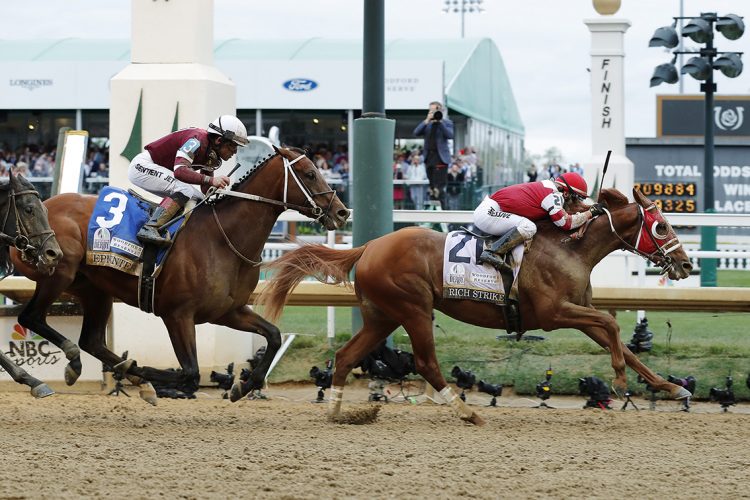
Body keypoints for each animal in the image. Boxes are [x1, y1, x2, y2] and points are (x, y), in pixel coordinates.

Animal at [11, 147, 352, 402]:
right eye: (309, 173)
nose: (342, 212)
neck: (222, 238)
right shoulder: (177, 314)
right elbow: (190, 372)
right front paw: (141, 372)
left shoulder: (228, 311)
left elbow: (273, 335)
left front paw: (244, 385)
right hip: (58, 273)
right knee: (32, 318)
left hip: (95, 289)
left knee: (91, 340)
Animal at [262, 188, 696, 426]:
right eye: (661, 226)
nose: (686, 264)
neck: (570, 248)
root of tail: (368, 246)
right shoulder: (555, 313)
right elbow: (612, 326)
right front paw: (621, 382)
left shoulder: (576, 312)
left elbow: (618, 339)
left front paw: (671, 387)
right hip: (414, 309)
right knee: (426, 363)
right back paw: (467, 412)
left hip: (382, 315)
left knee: (346, 355)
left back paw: (338, 412)